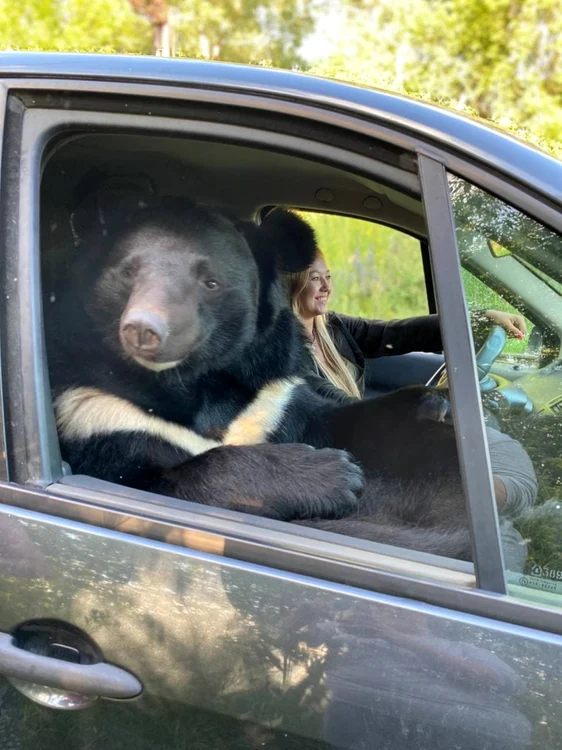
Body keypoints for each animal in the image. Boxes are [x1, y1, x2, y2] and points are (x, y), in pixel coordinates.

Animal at [43, 187, 470, 564]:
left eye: (211, 282)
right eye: (128, 272)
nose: (144, 330)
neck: (193, 382)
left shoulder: (273, 394)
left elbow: (339, 419)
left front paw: (434, 402)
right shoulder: (96, 412)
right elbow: (159, 482)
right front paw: (336, 475)